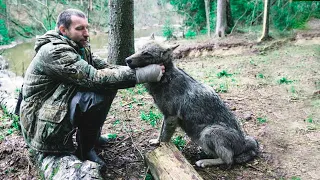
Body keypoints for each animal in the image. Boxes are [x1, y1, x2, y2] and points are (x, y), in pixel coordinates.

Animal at [125, 40, 260, 167]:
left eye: (146, 53)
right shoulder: (166, 116)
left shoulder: (171, 117)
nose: (127, 60)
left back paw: (204, 162)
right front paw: (156, 142)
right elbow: (160, 132)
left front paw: (162, 151)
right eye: (139, 49)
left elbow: (165, 138)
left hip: (208, 132)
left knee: (228, 160)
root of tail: (244, 142)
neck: (166, 78)